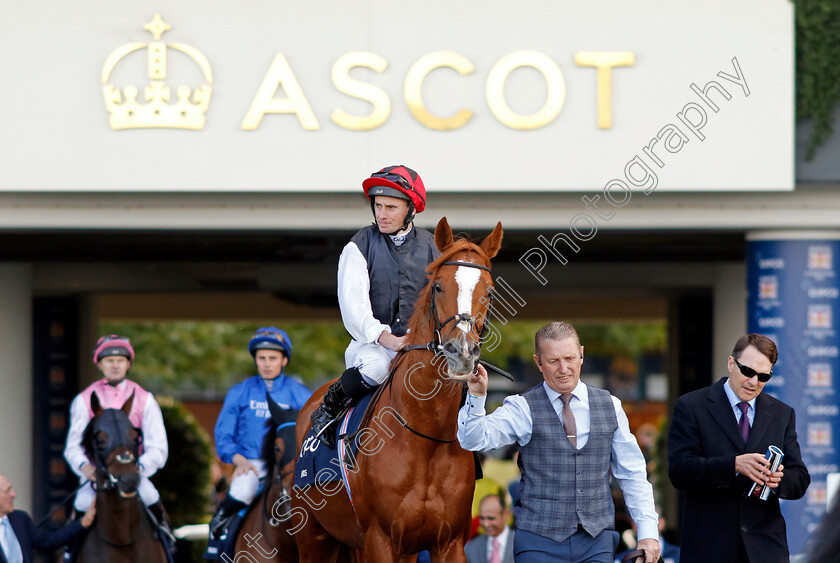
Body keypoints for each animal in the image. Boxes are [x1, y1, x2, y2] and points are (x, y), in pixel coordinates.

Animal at [296, 217, 502, 563]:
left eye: (488, 291)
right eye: (437, 286)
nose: (461, 352)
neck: (426, 436)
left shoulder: (448, 542)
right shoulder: (380, 540)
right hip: (314, 539)